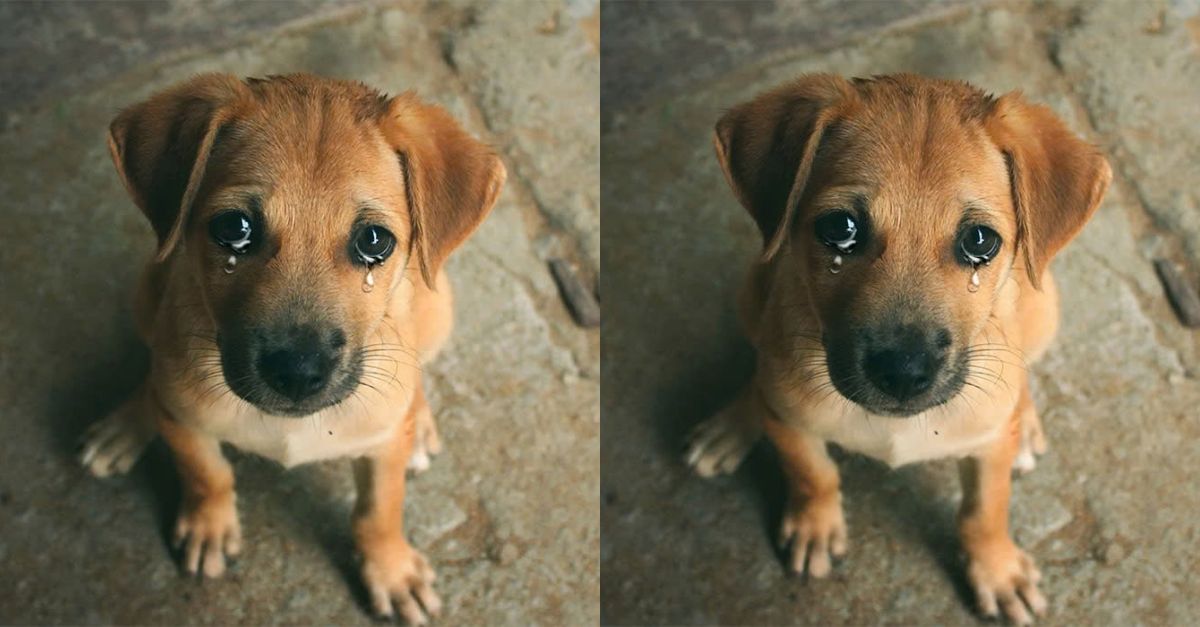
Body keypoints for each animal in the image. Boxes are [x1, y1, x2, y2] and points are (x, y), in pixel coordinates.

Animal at [76, 72, 506, 619]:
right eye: (234, 229)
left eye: (374, 241)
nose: (298, 373)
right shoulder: (185, 422)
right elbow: (206, 473)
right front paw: (209, 525)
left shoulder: (381, 451)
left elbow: (379, 510)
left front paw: (390, 570)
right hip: (149, 290)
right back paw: (128, 420)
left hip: (439, 307)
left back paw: (420, 420)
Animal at [691, 74, 1108, 624]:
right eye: (839, 229)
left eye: (980, 240)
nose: (904, 373)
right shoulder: (790, 423)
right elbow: (812, 474)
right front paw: (815, 525)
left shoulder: (986, 452)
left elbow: (985, 511)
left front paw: (996, 570)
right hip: (753, 289)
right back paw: (733, 420)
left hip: (1045, 309)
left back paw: (1026, 422)